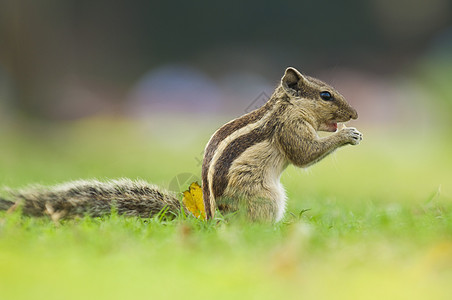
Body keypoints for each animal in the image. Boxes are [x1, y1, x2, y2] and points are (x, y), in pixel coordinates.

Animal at [0, 68, 360, 223]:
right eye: (325, 95)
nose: (355, 114)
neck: (286, 106)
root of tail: (210, 222)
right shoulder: (289, 127)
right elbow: (303, 154)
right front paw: (347, 135)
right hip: (266, 197)